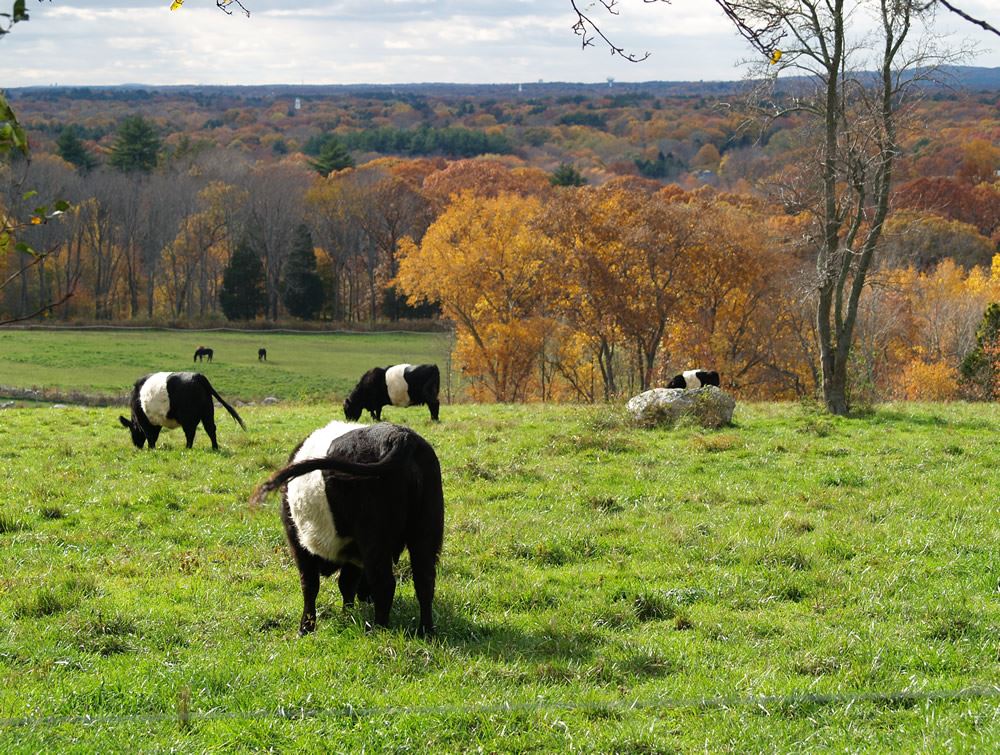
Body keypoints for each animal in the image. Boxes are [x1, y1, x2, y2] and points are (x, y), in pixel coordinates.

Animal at [250, 421, 444, 636]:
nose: (366, 598)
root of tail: (401, 436)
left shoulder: (299, 544)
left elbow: (310, 585)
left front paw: (305, 628)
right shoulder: (352, 552)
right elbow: (347, 584)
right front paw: (347, 616)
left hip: (374, 537)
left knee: (385, 584)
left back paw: (377, 630)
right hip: (426, 532)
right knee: (425, 581)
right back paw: (426, 631)